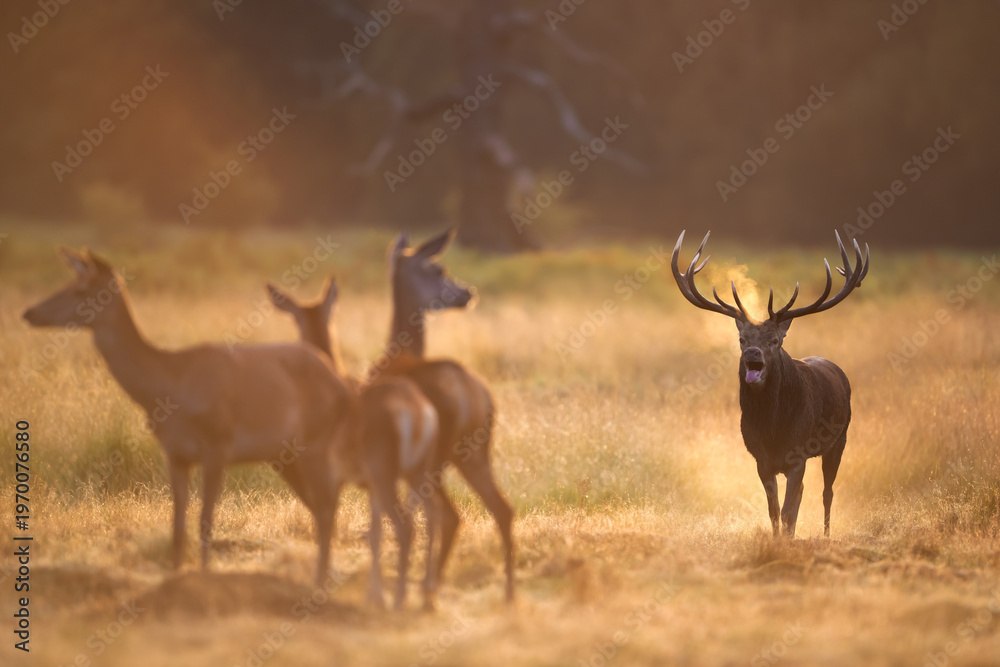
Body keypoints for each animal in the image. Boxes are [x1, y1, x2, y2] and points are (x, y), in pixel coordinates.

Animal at [22, 248, 352, 586]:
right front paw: (176, 578)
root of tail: (338, 382)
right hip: (288, 455)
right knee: (322, 508)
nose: (29, 313)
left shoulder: (218, 445)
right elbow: (178, 526)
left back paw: (320, 583)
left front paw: (204, 580)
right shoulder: (175, 454)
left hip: (316, 444)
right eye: (68, 282)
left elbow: (205, 521)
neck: (170, 387)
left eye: (81, 289)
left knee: (327, 508)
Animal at [266, 278, 445, 611]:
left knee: (406, 526)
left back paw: (400, 600)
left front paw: (321, 587)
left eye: (295, 318)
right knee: (434, 516)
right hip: (416, 470)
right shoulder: (367, 485)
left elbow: (327, 523)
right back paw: (425, 596)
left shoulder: (328, 474)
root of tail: (419, 413)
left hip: (386, 471)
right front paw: (373, 594)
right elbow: (374, 533)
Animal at [375, 229, 515, 602]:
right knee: (501, 509)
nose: (467, 293)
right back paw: (508, 594)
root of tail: (474, 398)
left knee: (447, 516)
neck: (396, 352)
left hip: (435, 458)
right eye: (437, 269)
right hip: (474, 452)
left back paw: (427, 591)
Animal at [671, 230, 869, 538]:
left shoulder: (799, 454)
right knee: (803, 495)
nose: (753, 354)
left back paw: (826, 535)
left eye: (774, 340)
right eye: (742, 339)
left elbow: (788, 511)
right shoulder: (761, 460)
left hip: (840, 439)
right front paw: (777, 540)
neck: (773, 429)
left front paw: (787, 542)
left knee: (827, 492)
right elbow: (775, 511)